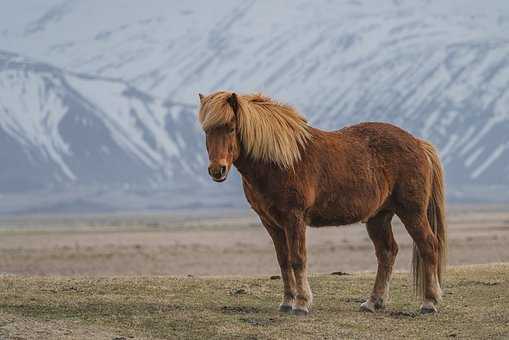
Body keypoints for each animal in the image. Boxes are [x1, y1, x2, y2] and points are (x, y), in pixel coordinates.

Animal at [196, 91, 446, 316]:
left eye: (230, 127)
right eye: (206, 130)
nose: (217, 170)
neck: (279, 161)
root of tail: (418, 143)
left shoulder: (294, 218)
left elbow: (297, 259)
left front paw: (301, 304)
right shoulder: (271, 223)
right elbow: (283, 261)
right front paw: (287, 302)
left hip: (412, 212)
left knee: (428, 245)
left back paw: (429, 303)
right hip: (379, 217)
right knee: (387, 252)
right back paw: (373, 302)